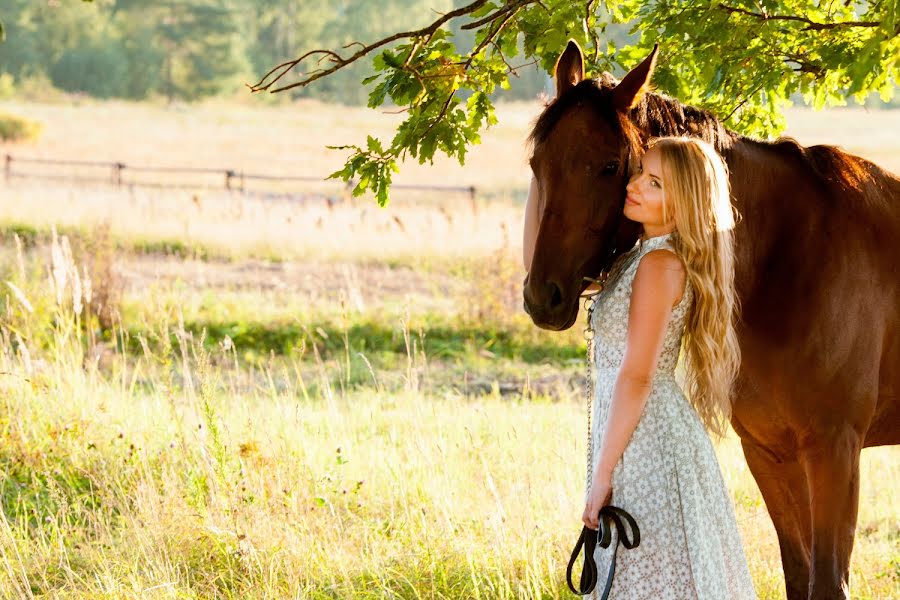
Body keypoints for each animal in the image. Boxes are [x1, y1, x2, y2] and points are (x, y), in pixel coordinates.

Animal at [528, 42, 900, 600]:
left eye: (611, 165)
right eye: (537, 162)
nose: (542, 296)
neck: (790, 258)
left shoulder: (835, 452)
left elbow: (827, 582)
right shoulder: (770, 453)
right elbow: (799, 575)